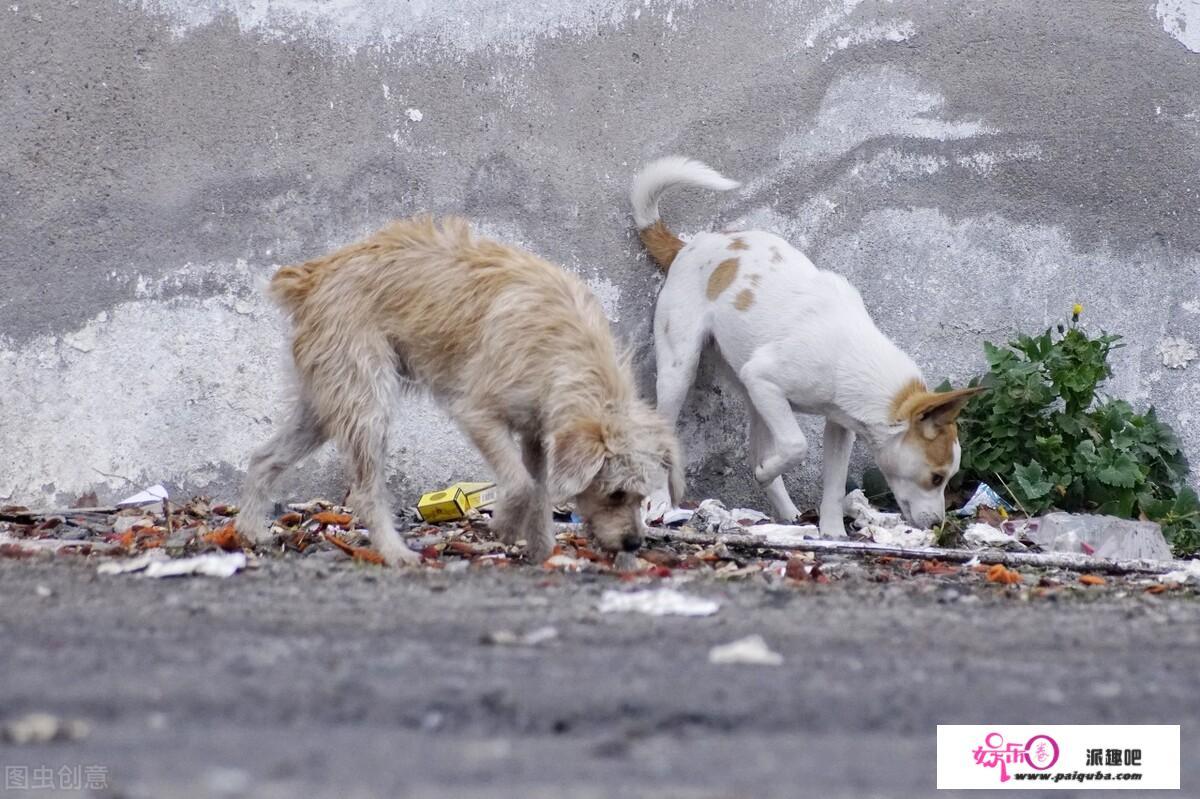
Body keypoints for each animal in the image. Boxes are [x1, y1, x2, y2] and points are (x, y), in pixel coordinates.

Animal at [237, 214, 681, 563]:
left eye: (642, 498)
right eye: (616, 494)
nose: (634, 544)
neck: (566, 349)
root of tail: (313, 276)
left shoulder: (536, 432)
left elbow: (538, 488)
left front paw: (541, 549)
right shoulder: (478, 414)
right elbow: (520, 484)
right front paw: (506, 525)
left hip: (321, 407)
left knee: (262, 458)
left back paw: (250, 531)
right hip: (366, 405)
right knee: (364, 492)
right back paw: (395, 553)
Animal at [633, 155, 979, 535]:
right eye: (936, 478)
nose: (938, 526)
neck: (852, 355)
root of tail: (687, 246)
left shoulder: (839, 427)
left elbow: (834, 483)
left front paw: (832, 532)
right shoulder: (765, 380)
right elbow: (797, 446)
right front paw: (771, 473)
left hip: (752, 396)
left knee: (757, 452)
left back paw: (787, 514)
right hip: (679, 372)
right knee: (663, 439)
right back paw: (660, 505)